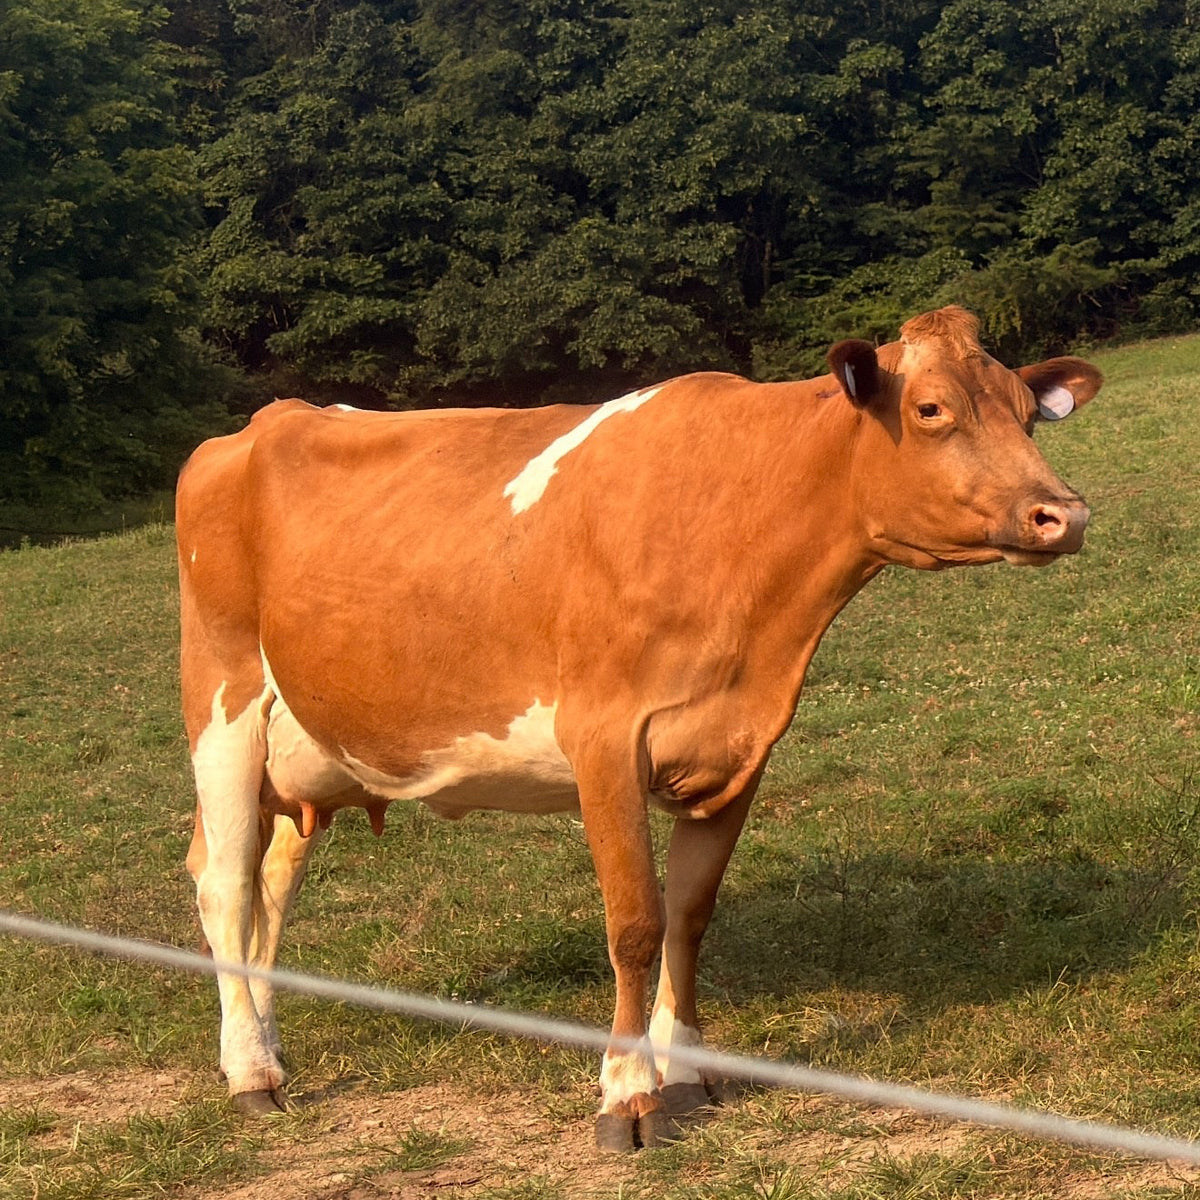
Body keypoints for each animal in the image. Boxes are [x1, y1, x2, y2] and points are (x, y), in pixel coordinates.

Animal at [176, 307, 1102, 1151]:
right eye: (931, 410)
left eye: (1027, 410)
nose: (1064, 514)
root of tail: (267, 419)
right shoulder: (605, 740)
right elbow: (634, 924)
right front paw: (626, 1092)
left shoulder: (740, 746)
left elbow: (689, 914)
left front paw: (684, 1071)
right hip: (222, 703)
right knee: (223, 883)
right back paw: (250, 1074)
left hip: (309, 749)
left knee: (271, 885)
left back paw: (264, 1045)